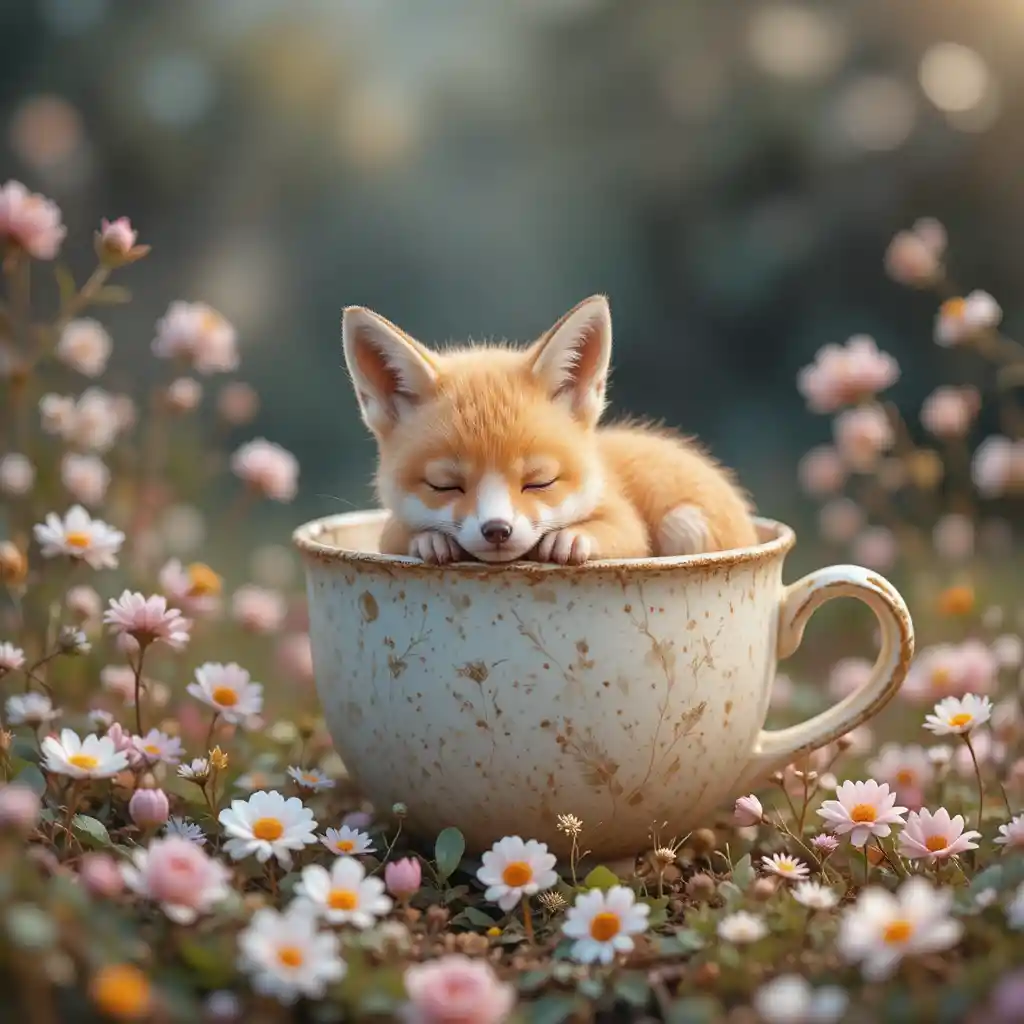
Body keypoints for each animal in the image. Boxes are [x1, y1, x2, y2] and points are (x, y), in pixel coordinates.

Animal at [341, 294, 758, 565]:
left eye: (539, 481)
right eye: (444, 486)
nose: (497, 530)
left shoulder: (624, 519)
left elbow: (624, 533)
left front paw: (573, 537)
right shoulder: (389, 531)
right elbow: (395, 536)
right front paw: (428, 540)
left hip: (685, 525)